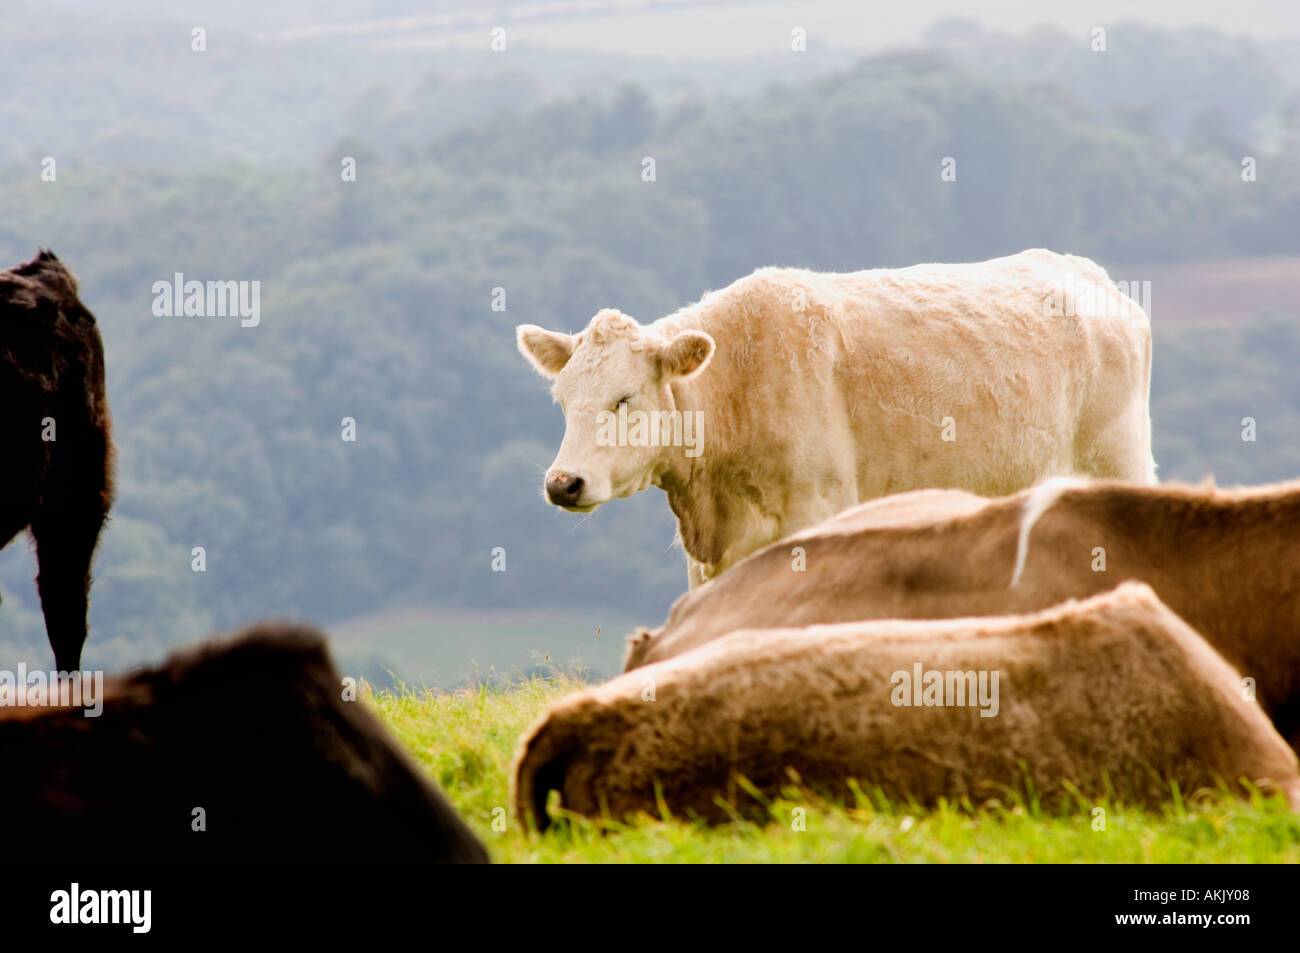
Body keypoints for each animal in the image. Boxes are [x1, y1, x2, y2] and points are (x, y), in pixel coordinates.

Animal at [517, 249, 1155, 588]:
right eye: (563, 400)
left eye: (624, 398)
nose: (562, 483)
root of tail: (1084, 273)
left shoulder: (815, 519)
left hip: (1118, 469)